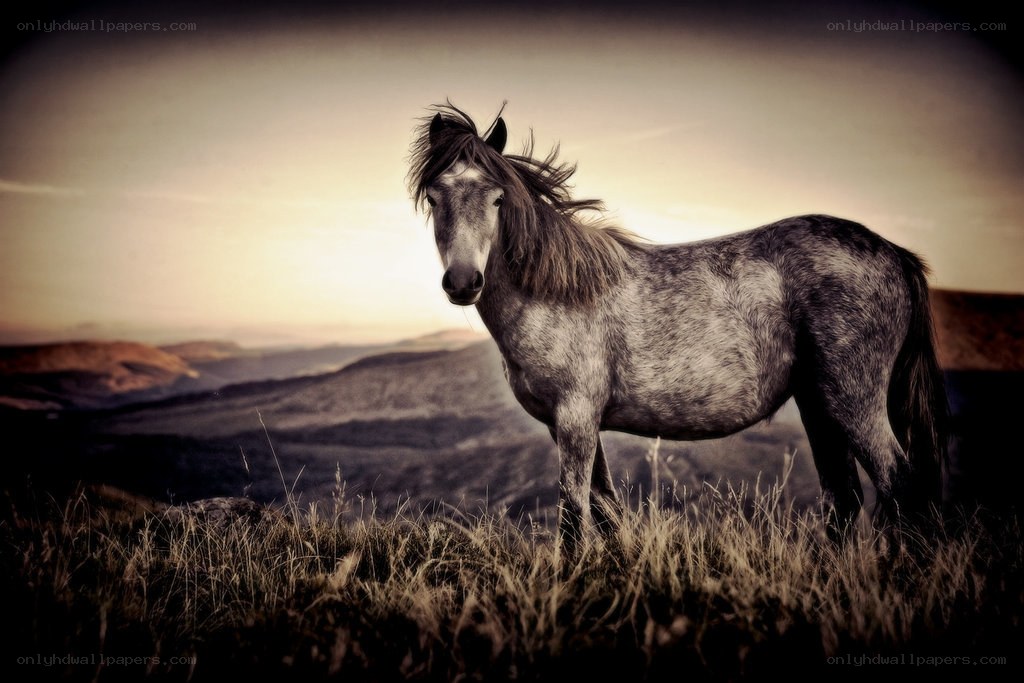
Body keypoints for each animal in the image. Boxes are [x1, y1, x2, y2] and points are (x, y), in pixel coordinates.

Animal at [408, 104, 947, 555]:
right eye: (434, 196)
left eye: (498, 198)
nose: (463, 282)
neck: (556, 292)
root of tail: (897, 255)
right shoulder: (573, 424)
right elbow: (606, 509)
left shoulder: (576, 418)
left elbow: (573, 517)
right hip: (818, 404)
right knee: (845, 498)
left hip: (853, 401)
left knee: (900, 487)